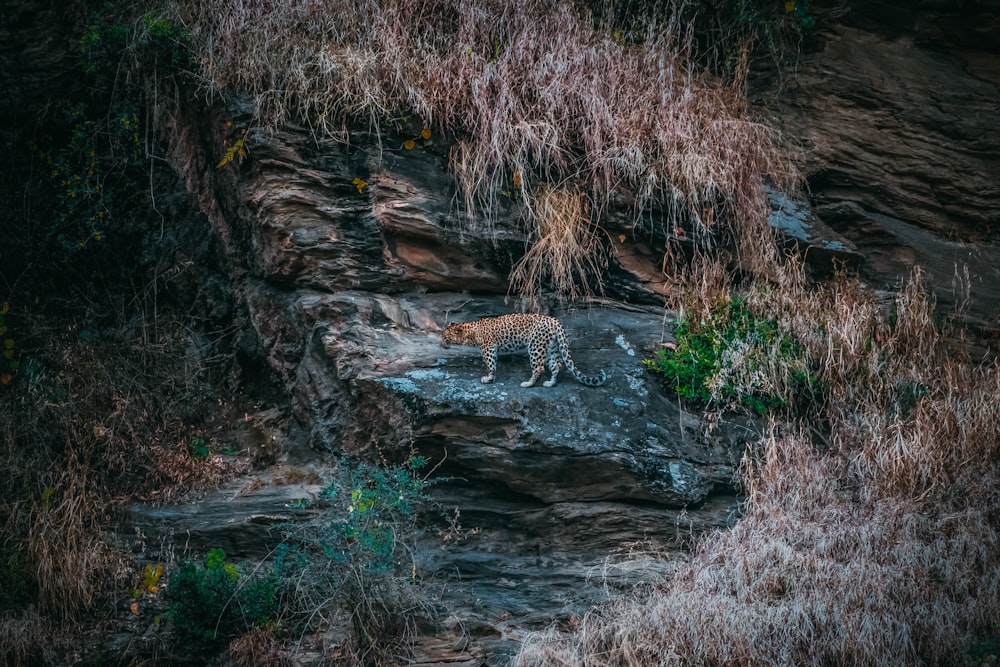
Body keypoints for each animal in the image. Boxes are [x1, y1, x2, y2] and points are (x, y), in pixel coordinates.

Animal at [440, 312, 608, 386]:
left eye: (445, 337)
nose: (441, 345)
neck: (470, 332)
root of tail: (555, 321)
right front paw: (490, 378)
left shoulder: (488, 348)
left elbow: (490, 364)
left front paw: (488, 378)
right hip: (552, 348)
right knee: (557, 365)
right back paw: (550, 383)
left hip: (535, 346)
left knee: (539, 367)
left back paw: (528, 383)